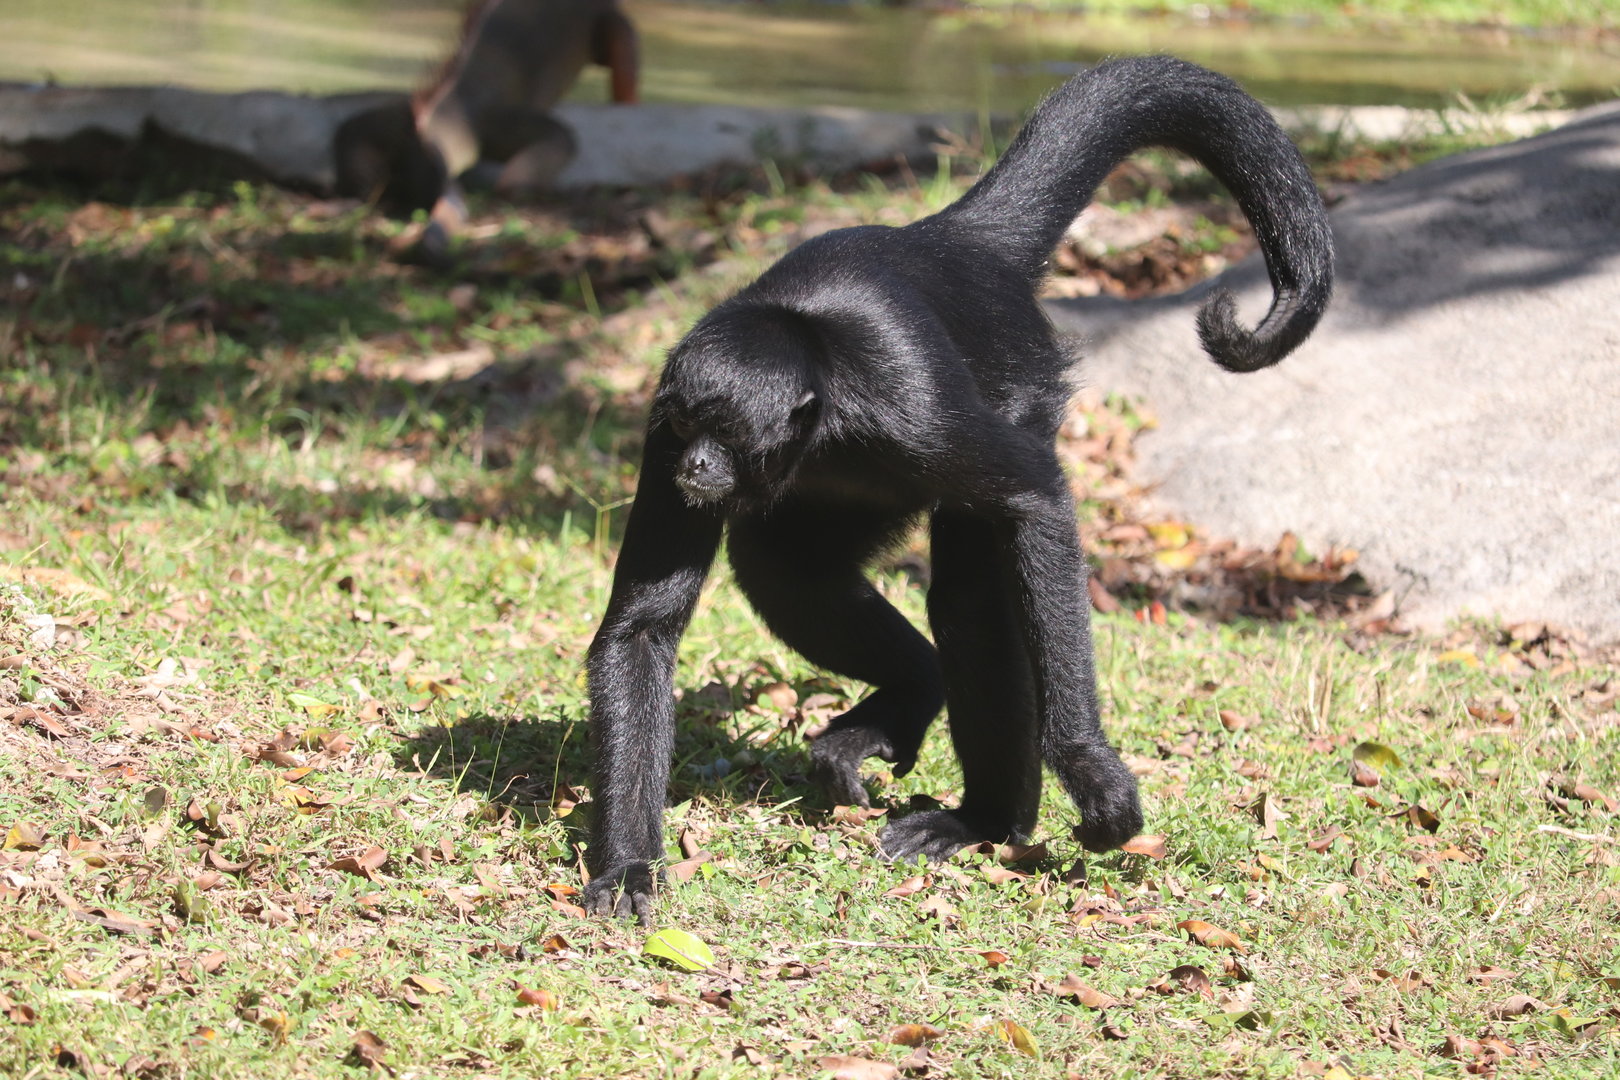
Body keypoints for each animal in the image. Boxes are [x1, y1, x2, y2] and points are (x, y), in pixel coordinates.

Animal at [580, 56, 1335, 922]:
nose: (697, 468)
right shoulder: (660, 421)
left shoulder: (910, 404)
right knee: (787, 568)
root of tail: (951, 239)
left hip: (1018, 391)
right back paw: (918, 689)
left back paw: (985, 819)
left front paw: (1087, 767)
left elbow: (1037, 498)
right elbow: (643, 629)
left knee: (972, 596)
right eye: (688, 427)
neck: (824, 386)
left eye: (727, 435)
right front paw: (629, 865)